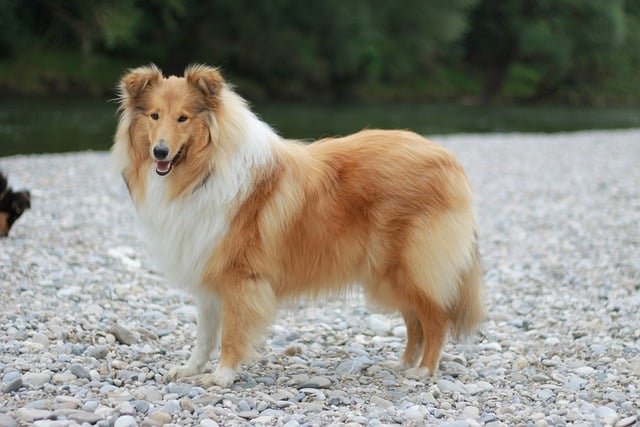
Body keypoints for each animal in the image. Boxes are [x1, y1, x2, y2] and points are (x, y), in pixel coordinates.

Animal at [111, 63, 484, 388]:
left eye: (183, 118)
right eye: (154, 116)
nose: (160, 152)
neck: (203, 172)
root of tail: (448, 159)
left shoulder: (239, 278)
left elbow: (230, 334)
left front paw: (222, 376)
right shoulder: (206, 272)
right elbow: (204, 335)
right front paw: (189, 369)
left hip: (409, 267)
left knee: (435, 319)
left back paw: (424, 371)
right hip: (387, 274)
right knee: (414, 321)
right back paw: (403, 364)